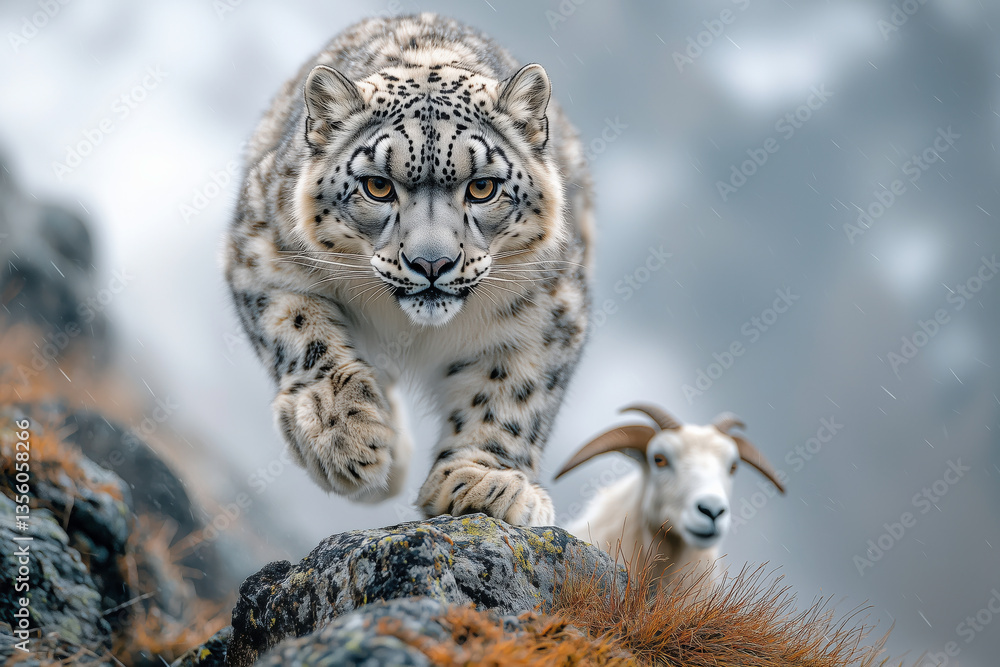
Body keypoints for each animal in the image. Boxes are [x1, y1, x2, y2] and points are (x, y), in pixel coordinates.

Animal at [224, 13, 593, 526]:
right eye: (378, 186)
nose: (431, 263)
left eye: (482, 188)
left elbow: (515, 396)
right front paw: (343, 440)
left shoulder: (550, 316)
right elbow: (304, 333)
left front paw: (485, 481)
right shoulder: (261, 253)